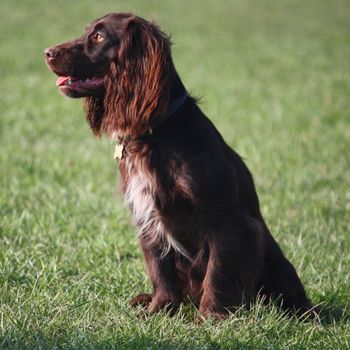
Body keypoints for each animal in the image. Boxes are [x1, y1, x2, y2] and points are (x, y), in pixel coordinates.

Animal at [45, 13, 314, 318]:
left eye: (99, 37)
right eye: (87, 33)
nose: (47, 52)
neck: (155, 132)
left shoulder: (227, 219)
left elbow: (218, 271)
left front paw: (210, 317)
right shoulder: (147, 214)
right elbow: (159, 268)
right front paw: (158, 309)